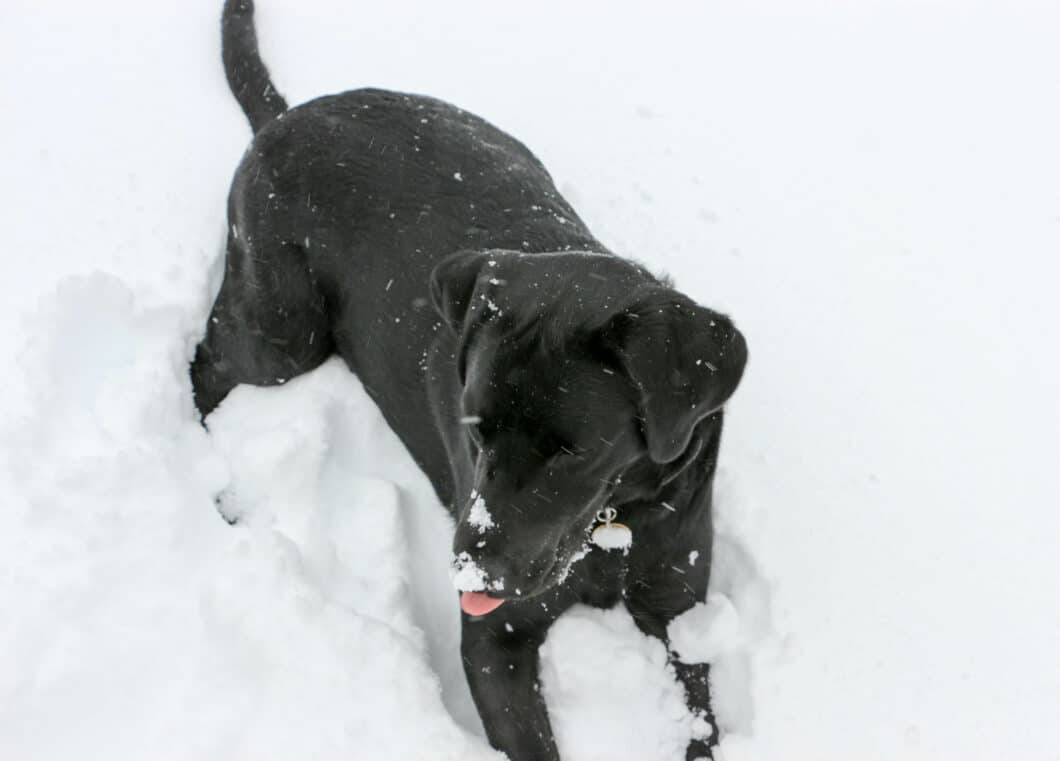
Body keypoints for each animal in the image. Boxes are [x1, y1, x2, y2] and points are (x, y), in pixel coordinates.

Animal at [195, 2, 750, 758]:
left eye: (572, 451)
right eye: (475, 430)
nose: (467, 569)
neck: (615, 528)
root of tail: (286, 116)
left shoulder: (679, 603)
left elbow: (701, 724)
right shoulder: (495, 635)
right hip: (283, 336)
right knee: (205, 363)